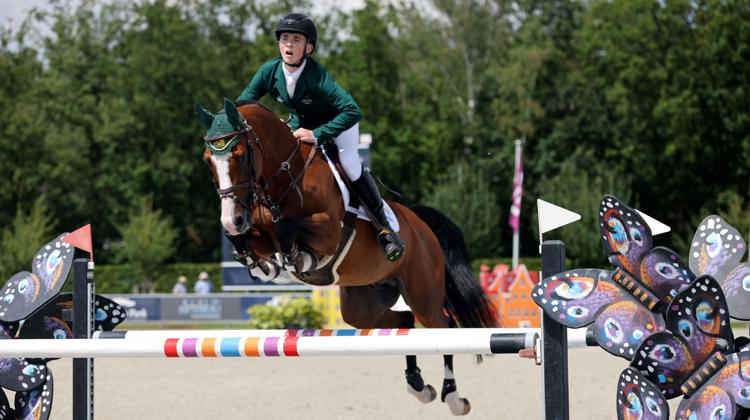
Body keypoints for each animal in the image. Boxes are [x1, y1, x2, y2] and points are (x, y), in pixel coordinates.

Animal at [197, 98, 496, 416]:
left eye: (240, 156)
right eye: (208, 159)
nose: (232, 219)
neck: (285, 177)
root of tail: (420, 222)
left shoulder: (328, 231)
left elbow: (288, 226)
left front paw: (296, 257)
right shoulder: (260, 233)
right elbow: (252, 241)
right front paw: (261, 262)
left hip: (423, 293)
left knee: (444, 327)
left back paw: (453, 397)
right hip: (364, 303)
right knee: (402, 322)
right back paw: (418, 386)